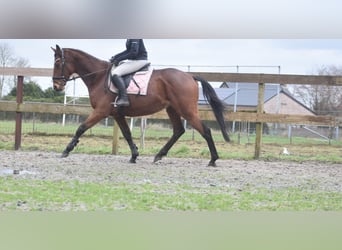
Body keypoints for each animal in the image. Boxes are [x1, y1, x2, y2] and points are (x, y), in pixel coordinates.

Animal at [50, 45, 230, 166]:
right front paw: (134, 155)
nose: (56, 86)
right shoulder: (117, 114)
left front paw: (66, 150)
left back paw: (213, 159)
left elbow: (81, 128)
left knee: (205, 131)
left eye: (58, 63)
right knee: (178, 130)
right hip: (172, 109)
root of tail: (190, 76)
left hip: (187, 110)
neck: (99, 77)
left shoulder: (101, 111)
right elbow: (127, 134)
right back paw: (159, 155)